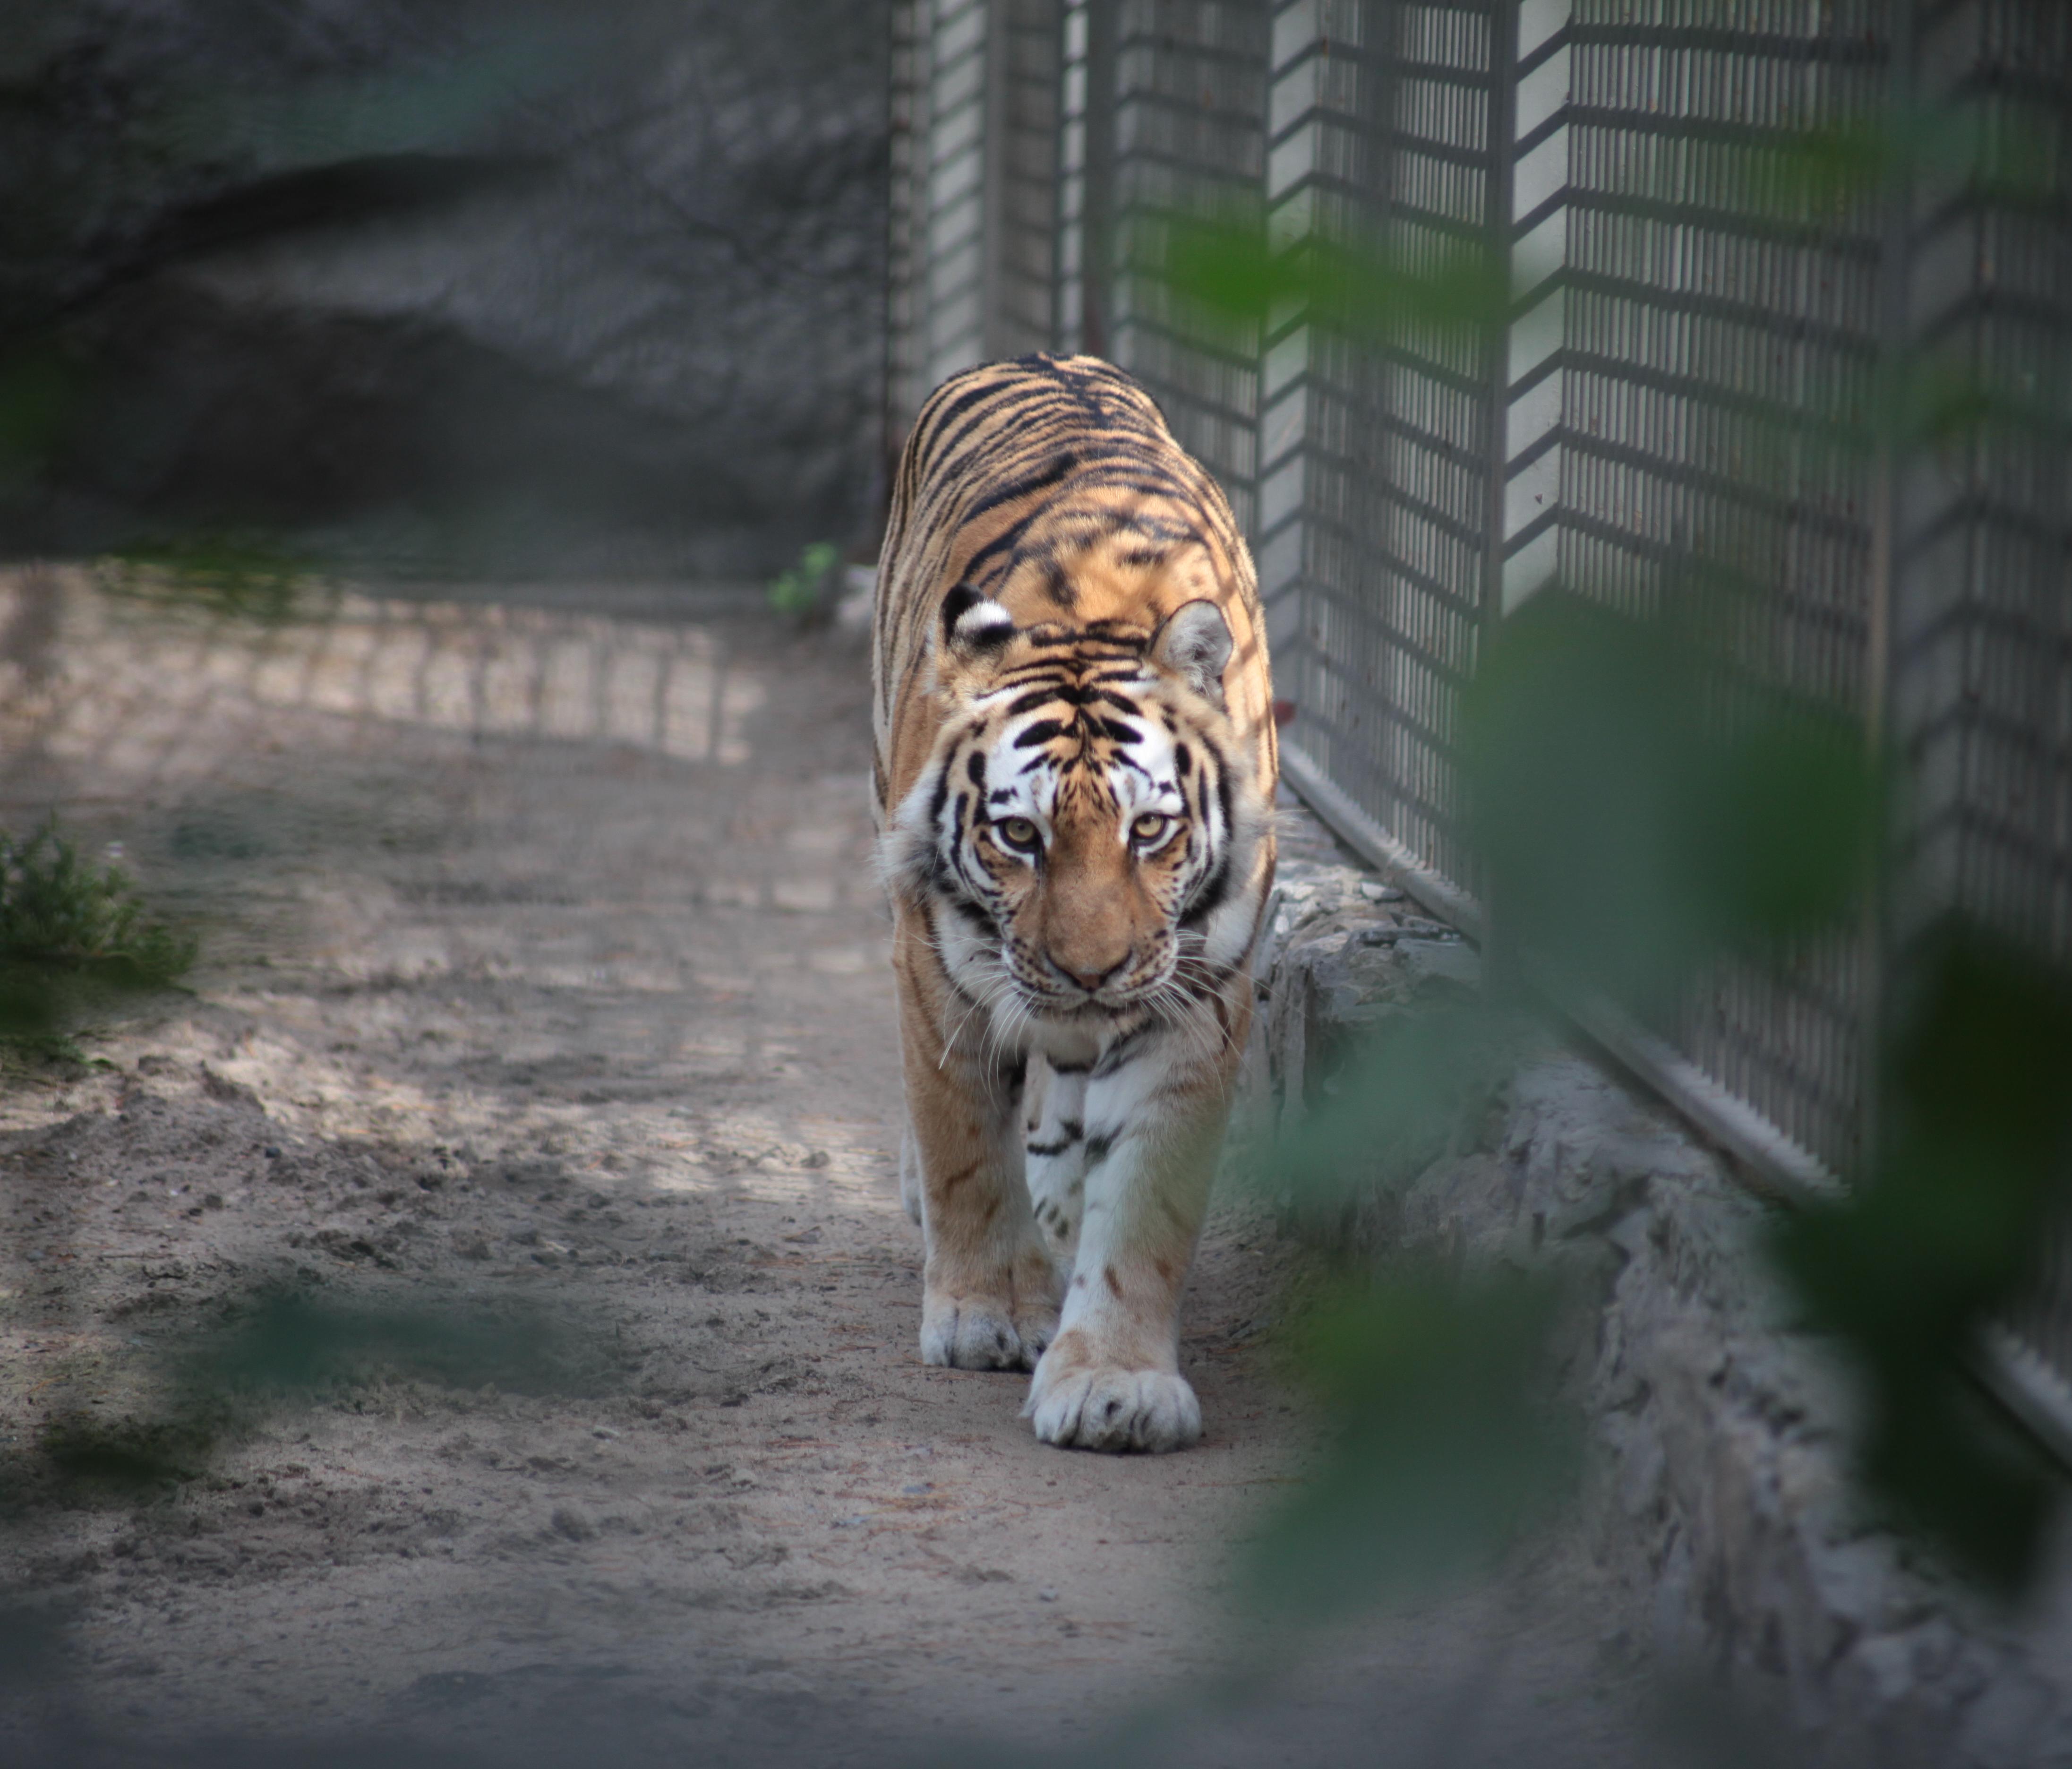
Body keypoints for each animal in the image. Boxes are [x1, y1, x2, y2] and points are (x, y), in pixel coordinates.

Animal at [866, 354, 1268, 1458]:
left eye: (1150, 830)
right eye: (1018, 837)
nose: (1091, 971)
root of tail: (1046, 358)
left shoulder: (1197, 998)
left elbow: (1144, 1200)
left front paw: (1113, 1383)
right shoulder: (937, 971)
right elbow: (965, 1146)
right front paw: (985, 1316)